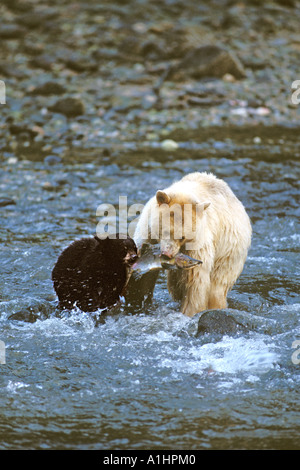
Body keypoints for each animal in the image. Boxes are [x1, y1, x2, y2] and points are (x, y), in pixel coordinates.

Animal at [134, 171, 251, 318]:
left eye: (182, 236)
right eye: (165, 230)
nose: (167, 254)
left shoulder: (198, 245)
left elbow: (195, 282)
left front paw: (189, 312)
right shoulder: (147, 232)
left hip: (229, 249)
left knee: (217, 286)